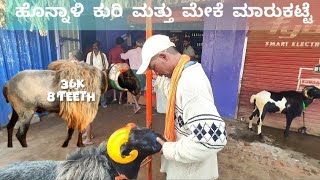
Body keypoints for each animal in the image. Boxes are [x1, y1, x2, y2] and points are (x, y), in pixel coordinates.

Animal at [2, 60, 140, 148]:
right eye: (128, 75)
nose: (139, 90)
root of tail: (8, 84)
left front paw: (81, 143)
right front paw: (82, 144)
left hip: (16, 111)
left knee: (9, 127)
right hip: (26, 112)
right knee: (20, 135)